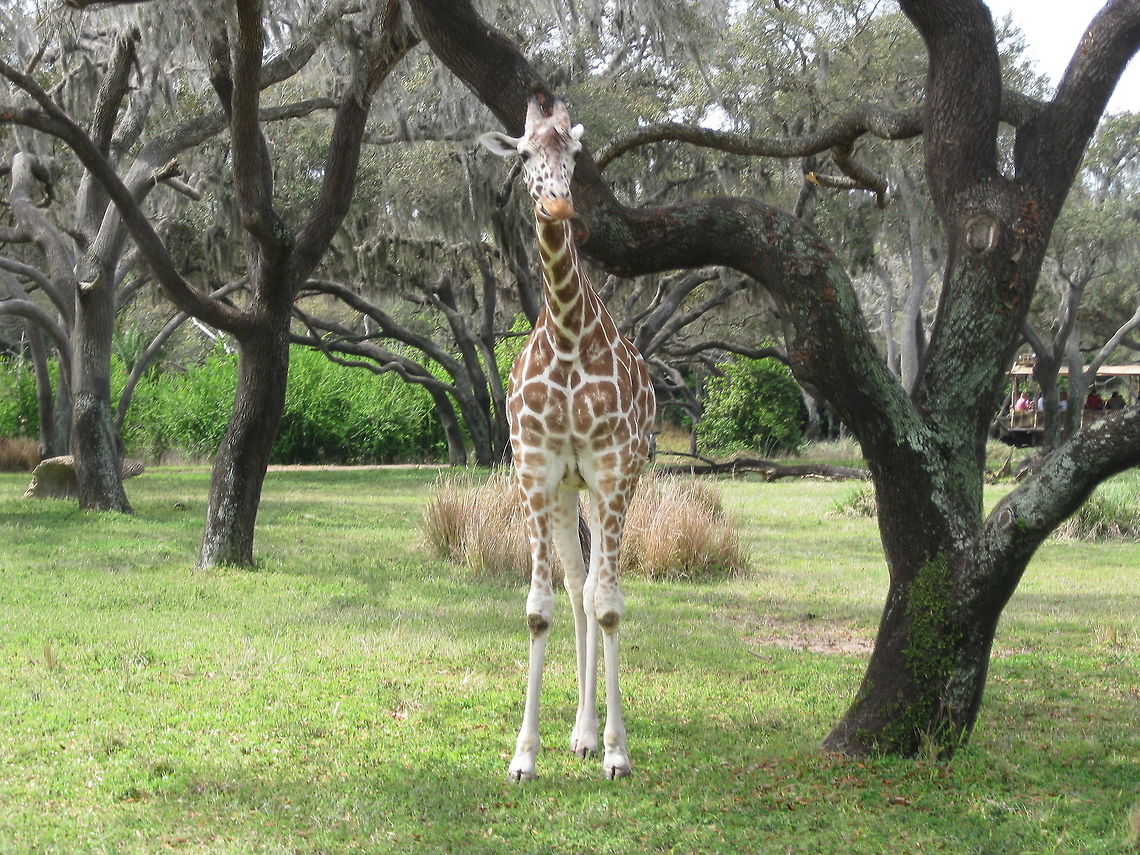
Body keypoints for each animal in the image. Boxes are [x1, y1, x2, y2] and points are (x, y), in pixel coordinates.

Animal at [480, 97, 656, 781]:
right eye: (525, 153)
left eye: (576, 155)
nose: (557, 206)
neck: (567, 332)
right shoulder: (536, 472)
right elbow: (540, 609)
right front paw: (523, 756)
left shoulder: (611, 469)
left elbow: (609, 604)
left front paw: (617, 751)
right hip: (564, 493)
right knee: (576, 587)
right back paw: (577, 733)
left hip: (613, 485)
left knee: (591, 589)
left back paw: (589, 734)